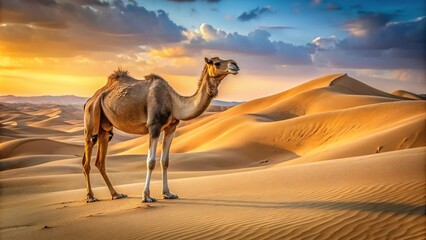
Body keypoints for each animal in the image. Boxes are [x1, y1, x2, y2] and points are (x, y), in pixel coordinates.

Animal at [81, 56, 238, 202]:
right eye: (216, 63)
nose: (234, 65)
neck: (175, 103)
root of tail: (89, 100)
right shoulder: (154, 126)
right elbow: (150, 162)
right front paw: (146, 196)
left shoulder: (171, 128)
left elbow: (165, 161)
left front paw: (168, 193)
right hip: (91, 119)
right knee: (87, 159)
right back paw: (90, 197)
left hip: (105, 128)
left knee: (100, 161)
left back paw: (116, 194)